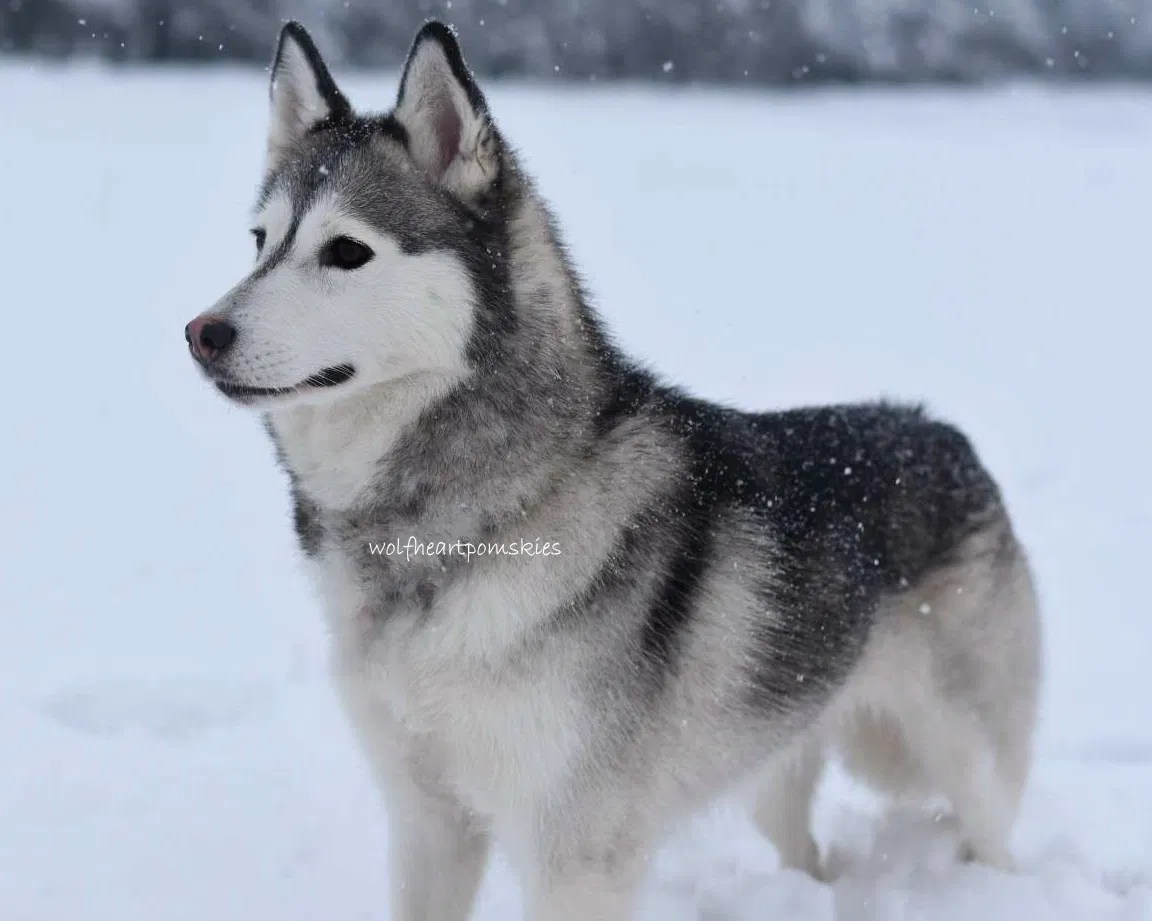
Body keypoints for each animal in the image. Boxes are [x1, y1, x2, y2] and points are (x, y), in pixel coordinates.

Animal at [184, 20, 1042, 921]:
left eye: (347, 251)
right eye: (260, 242)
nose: (201, 332)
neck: (479, 514)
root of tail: (939, 429)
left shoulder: (575, 853)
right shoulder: (427, 821)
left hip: (970, 761)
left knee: (990, 834)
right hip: (777, 770)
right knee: (806, 854)